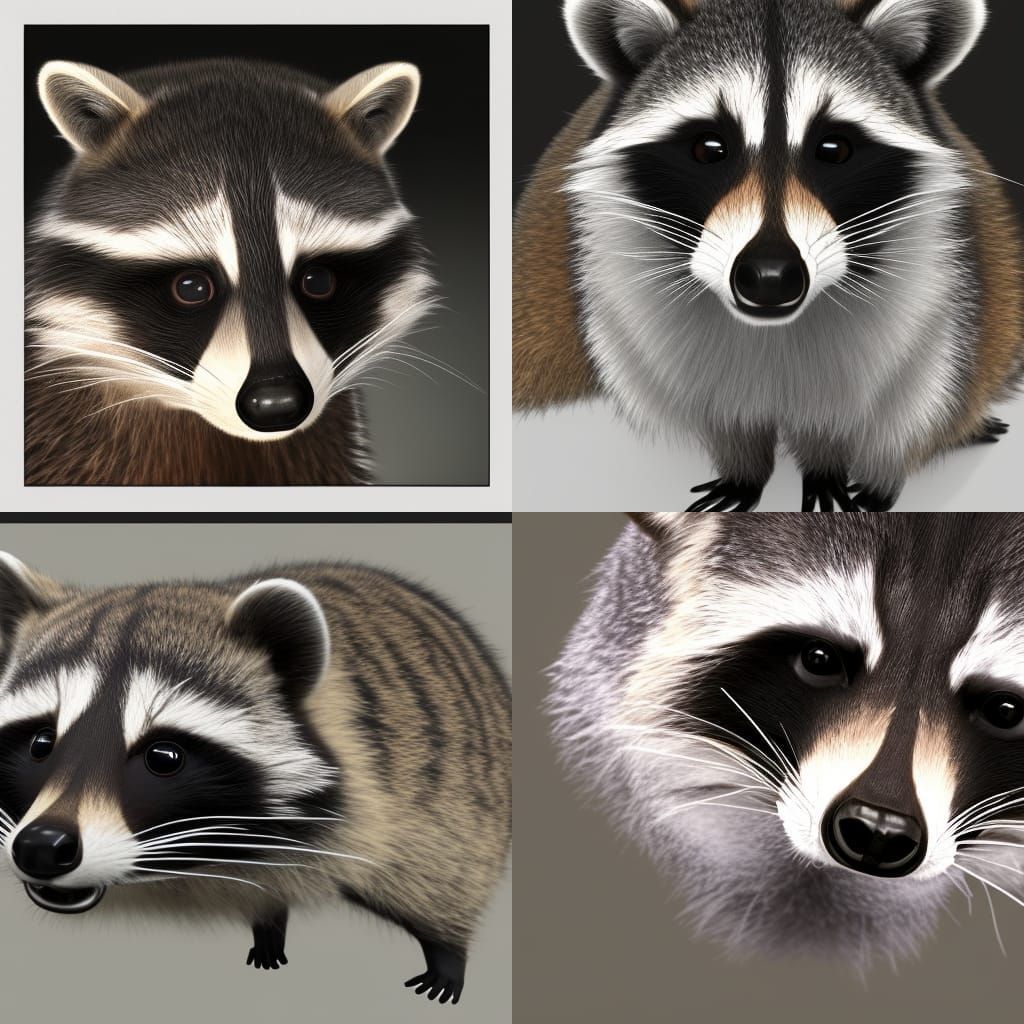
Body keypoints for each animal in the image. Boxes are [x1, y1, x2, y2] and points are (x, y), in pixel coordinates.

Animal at [513, 0, 1024, 511]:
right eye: (708, 147)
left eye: (834, 148)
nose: (770, 275)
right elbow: (715, 410)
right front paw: (743, 471)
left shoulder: (932, 288)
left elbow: (879, 409)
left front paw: (836, 470)